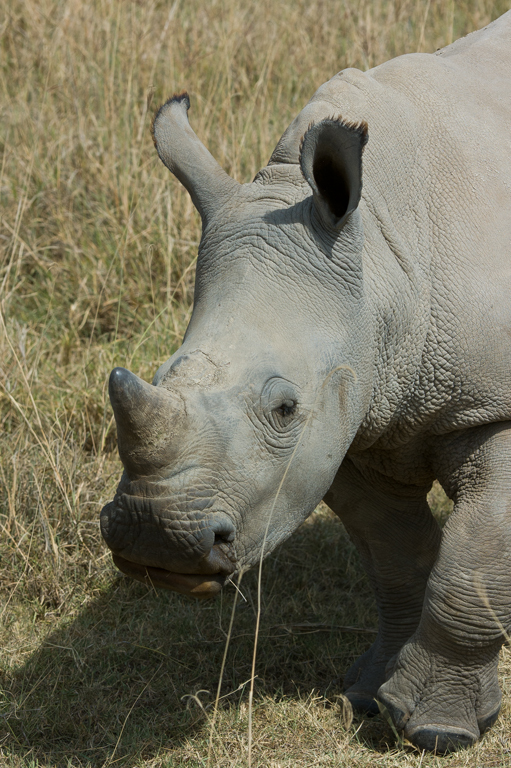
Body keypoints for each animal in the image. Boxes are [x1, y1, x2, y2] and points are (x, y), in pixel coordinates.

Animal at [100, 12, 511, 752]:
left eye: (285, 407)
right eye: (158, 373)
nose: (154, 538)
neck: (383, 257)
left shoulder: (488, 405)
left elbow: (471, 565)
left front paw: (433, 730)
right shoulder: (358, 413)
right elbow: (396, 556)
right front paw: (367, 695)